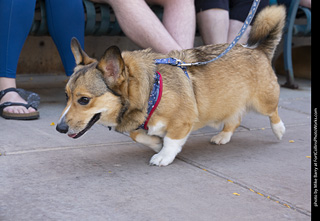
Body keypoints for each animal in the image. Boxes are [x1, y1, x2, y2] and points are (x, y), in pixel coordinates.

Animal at [56, 5, 286, 166]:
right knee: (234, 119)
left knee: (272, 112)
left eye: (84, 100)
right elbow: (137, 135)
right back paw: (223, 136)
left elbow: (171, 140)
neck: (152, 91)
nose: (59, 128)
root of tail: (258, 49)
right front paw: (155, 143)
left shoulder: (182, 121)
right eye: (66, 96)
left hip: (263, 101)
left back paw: (279, 130)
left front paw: (163, 156)